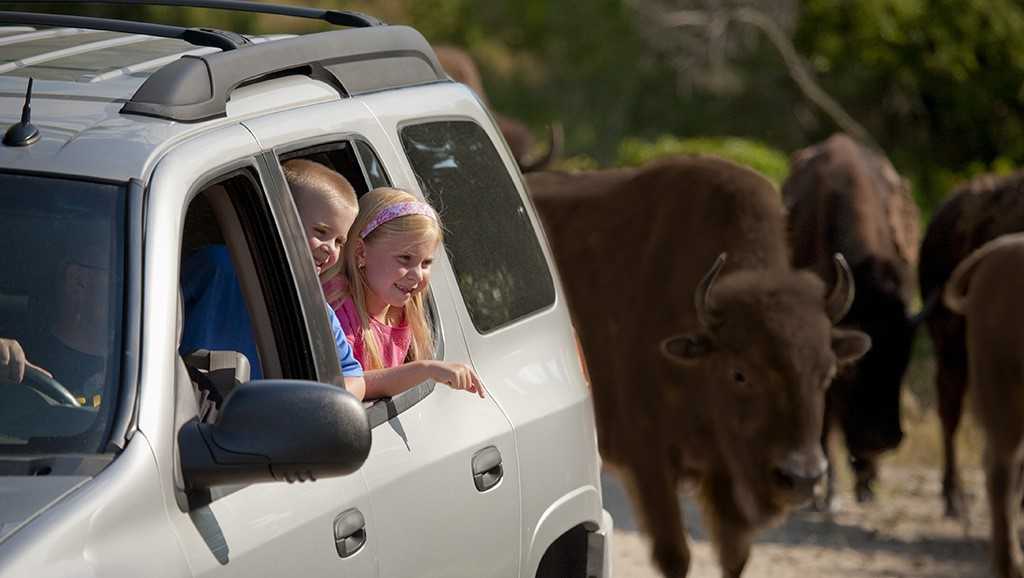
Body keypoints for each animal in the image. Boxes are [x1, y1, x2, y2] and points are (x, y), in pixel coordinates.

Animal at [528, 155, 872, 573]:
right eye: (739, 373)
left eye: (828, 373)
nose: (802, 477)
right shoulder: (648, 460)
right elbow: (675, 555)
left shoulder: (723, 475)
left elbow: (734, 555)